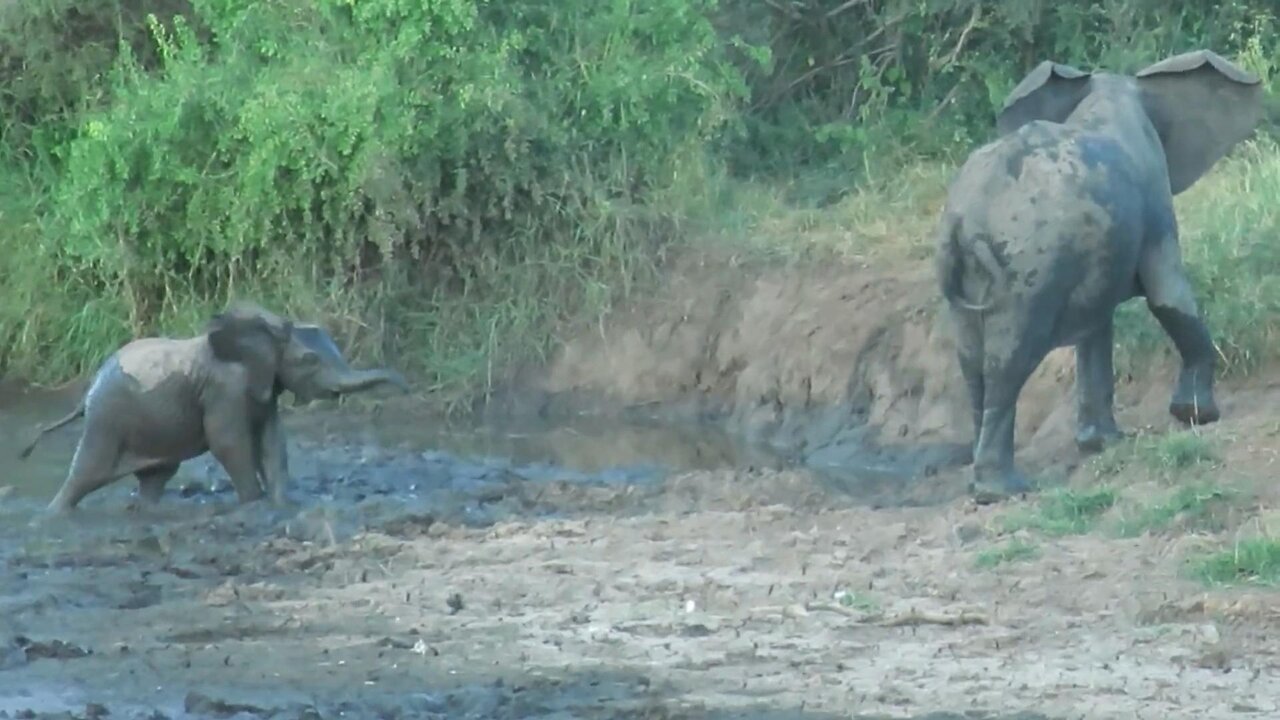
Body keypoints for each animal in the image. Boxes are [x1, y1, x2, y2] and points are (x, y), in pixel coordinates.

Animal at [20, 301, 409, 509]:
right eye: (309, 360)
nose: (406, 388)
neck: (266, 329)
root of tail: (86, 394)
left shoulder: (262, 386)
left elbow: (272, 443)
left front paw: (282, 505)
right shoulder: (225, 389)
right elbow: (230, 444)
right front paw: (254, 503)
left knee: (156, 478)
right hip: (108, 420)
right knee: (85, 476)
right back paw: (53, 515)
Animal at [936, 49, 1264, 499]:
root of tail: (965, 219)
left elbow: (1095, 328)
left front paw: (1101, 444)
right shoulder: (1155, 208)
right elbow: (1168, 298)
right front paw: (1197, 416)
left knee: (972, 362)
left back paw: (984, 479)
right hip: (1029, 264)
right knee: (1009, 359)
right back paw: (1004, 489)